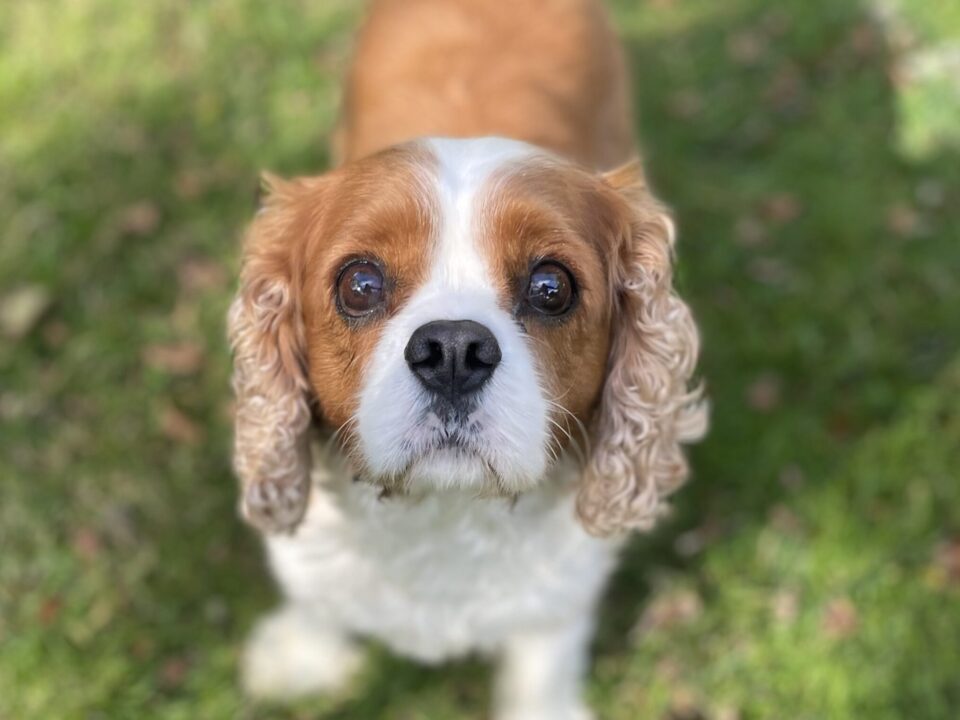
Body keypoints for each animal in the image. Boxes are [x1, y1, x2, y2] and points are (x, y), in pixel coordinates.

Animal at [227, 2, 704, 716]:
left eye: (552, 286)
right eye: (359, 284)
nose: (453, 349)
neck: (446, 512)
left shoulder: (563, 589)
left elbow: (544, 657)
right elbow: (318, 599)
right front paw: (302, 657)